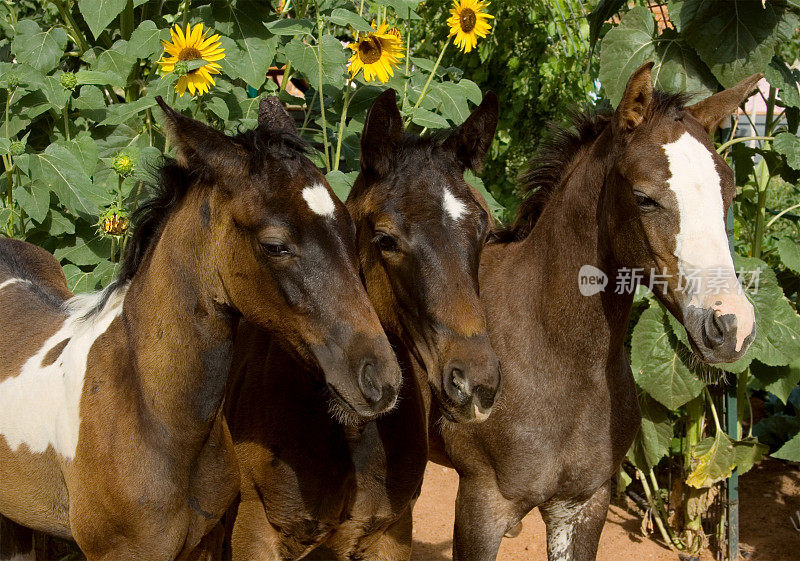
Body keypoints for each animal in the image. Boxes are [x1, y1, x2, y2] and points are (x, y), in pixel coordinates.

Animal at [434, 62, 760, 560]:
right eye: (644, 197)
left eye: (729, 194)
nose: (730, 325)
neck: (557, 361)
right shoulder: (481, 504)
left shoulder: (584, 505)